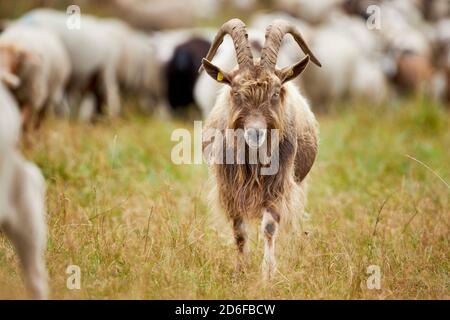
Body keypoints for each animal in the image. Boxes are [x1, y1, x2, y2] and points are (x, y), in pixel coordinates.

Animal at [200, 19, 320, 280]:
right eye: (236, 92)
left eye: (275, 93)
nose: (255, 132)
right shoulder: (230, 189)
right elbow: (239, 231)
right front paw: (240, 271)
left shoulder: (278, 185)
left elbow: (269, 227)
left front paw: (267, 274)